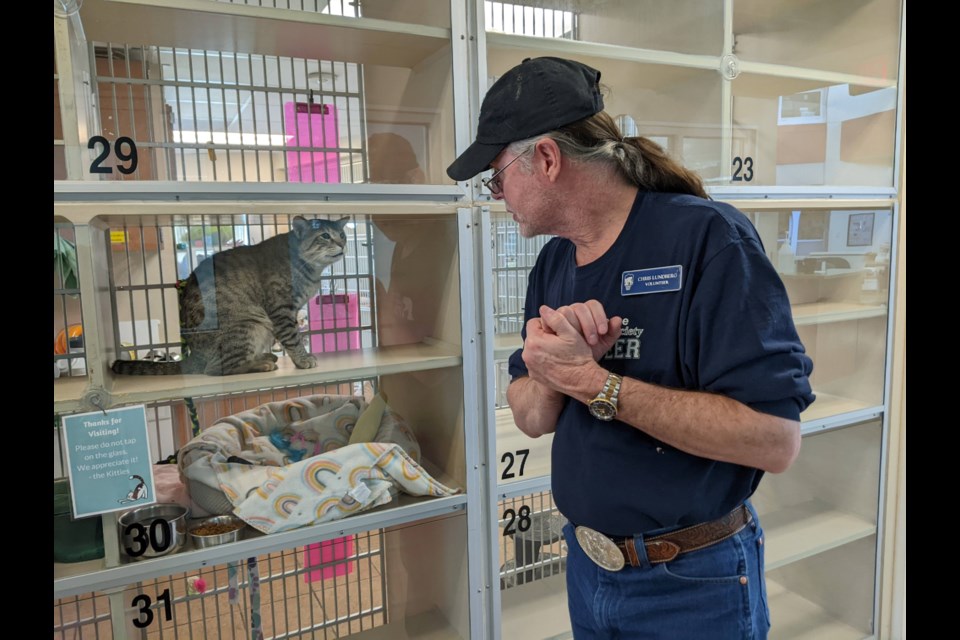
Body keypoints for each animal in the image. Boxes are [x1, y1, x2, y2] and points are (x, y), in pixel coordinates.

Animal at [110, 216, 348, 376]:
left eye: (343, 234)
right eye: (325, 235)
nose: (343, 244)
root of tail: (193, 356)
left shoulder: (292, 310)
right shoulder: (281, 310)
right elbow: (292, 337)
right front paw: (303, 358)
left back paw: (263, 356)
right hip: (249, 324)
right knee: (217, 369)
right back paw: (260, 364)